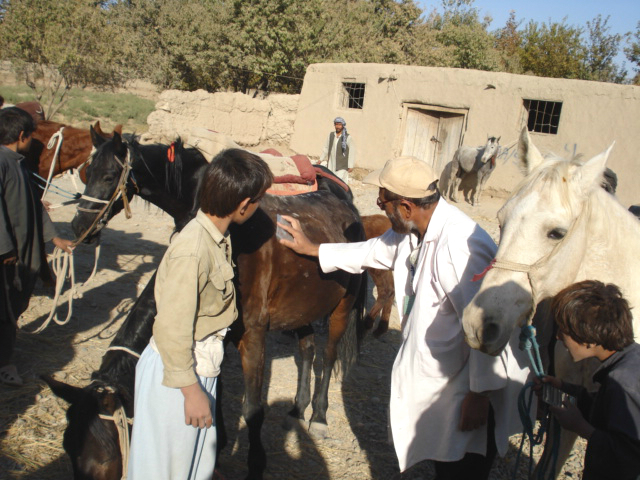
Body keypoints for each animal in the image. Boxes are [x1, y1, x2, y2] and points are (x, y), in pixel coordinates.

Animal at [48, 129, 364, 478]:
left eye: (108, 176)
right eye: (85, 173)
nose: (79, 228)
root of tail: (347, 206)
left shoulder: (253, 335)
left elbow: (252, 409)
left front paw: (254, 464)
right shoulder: (217, 333)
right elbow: (216, 390)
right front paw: (218, 442)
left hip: (342, 308)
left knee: (329, 355)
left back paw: (318, 416)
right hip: (303, 304)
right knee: (307, 350)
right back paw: (297, 408)